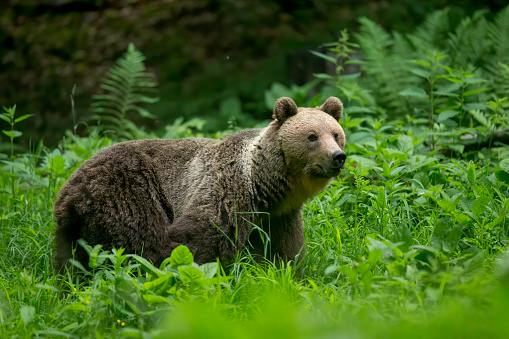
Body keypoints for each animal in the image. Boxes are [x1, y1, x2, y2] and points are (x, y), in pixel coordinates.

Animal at [53, 96, 346, 270]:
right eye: (312, 136)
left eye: (335, 134)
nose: (338, 157)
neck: (264, 185)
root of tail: (67, 192)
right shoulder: (227, 191)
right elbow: (200, 239)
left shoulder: (279, 216)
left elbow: (287, 253)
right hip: (127, 190)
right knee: (141, 242)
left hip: (73, 231)